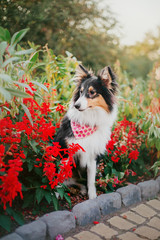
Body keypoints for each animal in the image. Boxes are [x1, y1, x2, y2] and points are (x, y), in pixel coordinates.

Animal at [55, 64, 117, 199]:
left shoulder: (93, 155)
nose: (76, 105)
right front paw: (55, 194)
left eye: (92, 92)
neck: (89, 121)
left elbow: (91, 180)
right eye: (80, 91)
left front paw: (92, 197)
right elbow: (60, 176)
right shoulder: (66, 151)